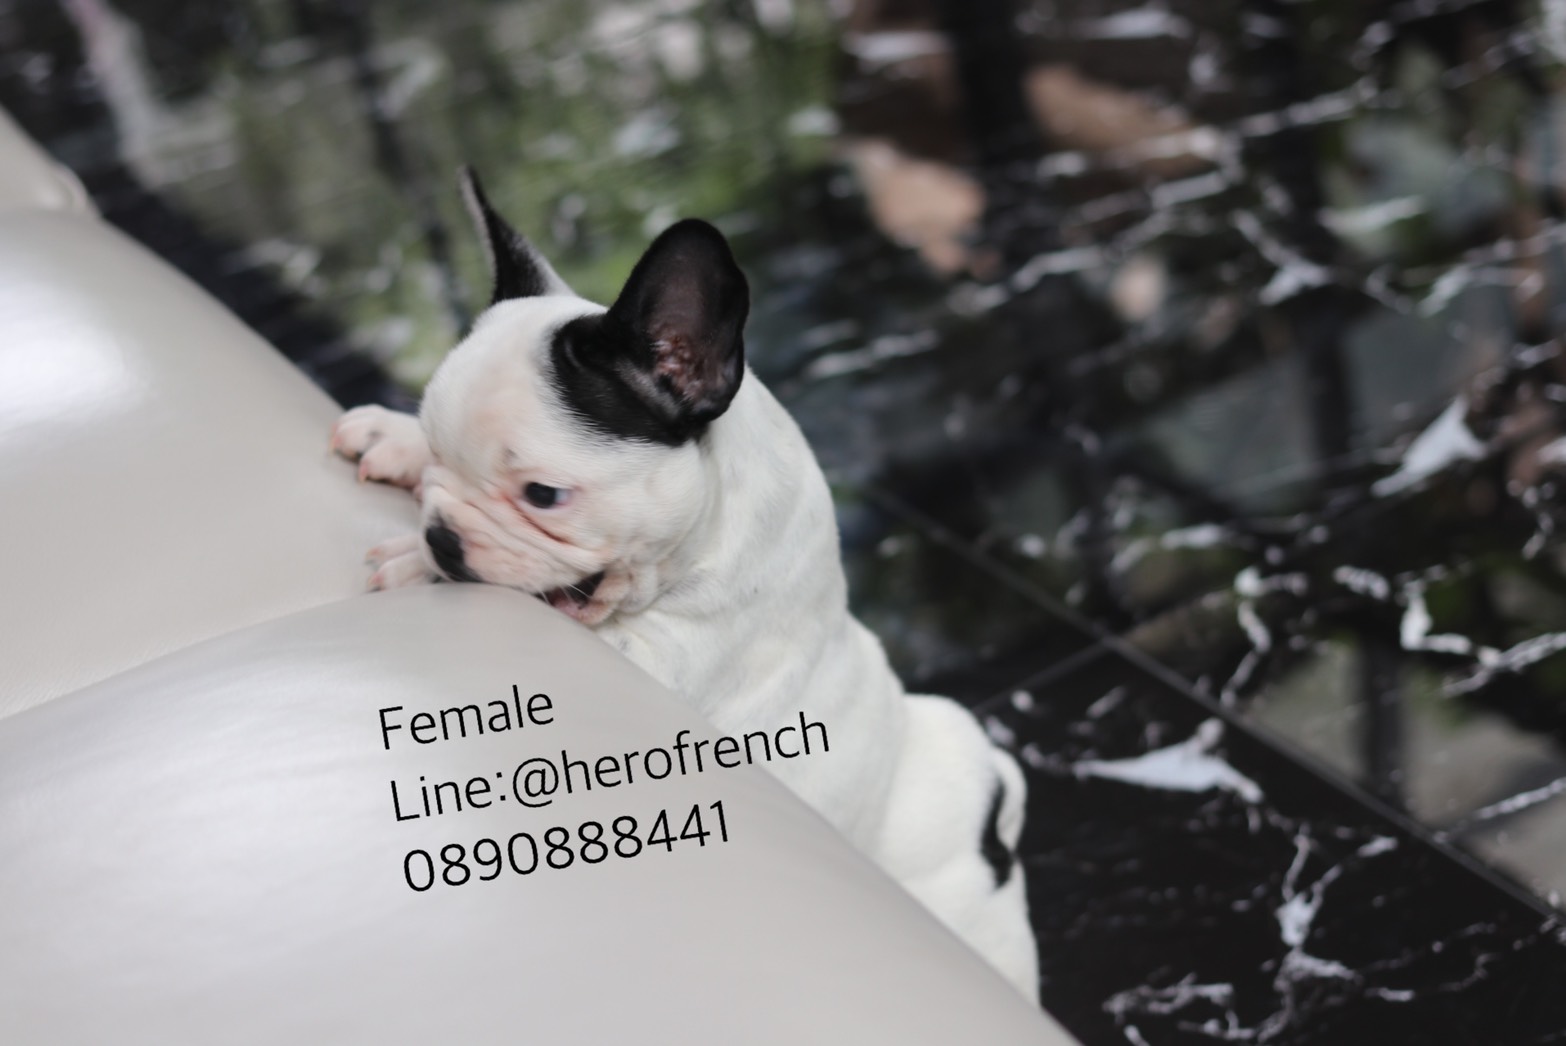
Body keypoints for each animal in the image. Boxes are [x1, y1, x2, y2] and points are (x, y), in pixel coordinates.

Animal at [329, 169, 1039, 998]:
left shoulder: (664, 659)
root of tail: (994, 819)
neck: (708, 525)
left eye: (543, 494)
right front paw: (396, 439)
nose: (443, 537)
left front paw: (415, 565)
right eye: (442, 455)